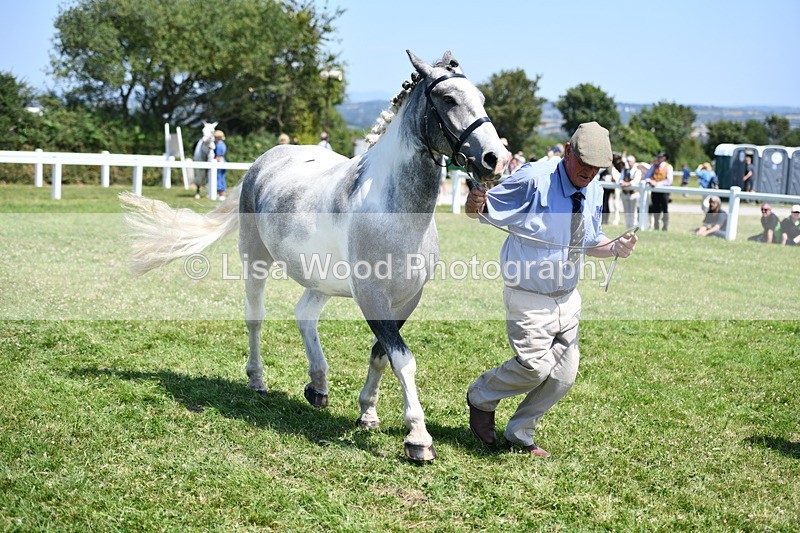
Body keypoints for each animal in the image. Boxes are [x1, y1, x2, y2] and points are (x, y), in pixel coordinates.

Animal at [120, 50, 509, 462]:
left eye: (481, 98)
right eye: (448, 99)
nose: (496, 159)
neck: (393, 209)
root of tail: (263, 163)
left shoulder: (406, 299)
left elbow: (381, 354)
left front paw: (368, 413)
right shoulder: (372, 296)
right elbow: (403, 359)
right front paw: (418, 438)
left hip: (320, 278)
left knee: (304, 314)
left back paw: (318, 386)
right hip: (254, 260)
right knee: (256, 318)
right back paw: (257, 380)